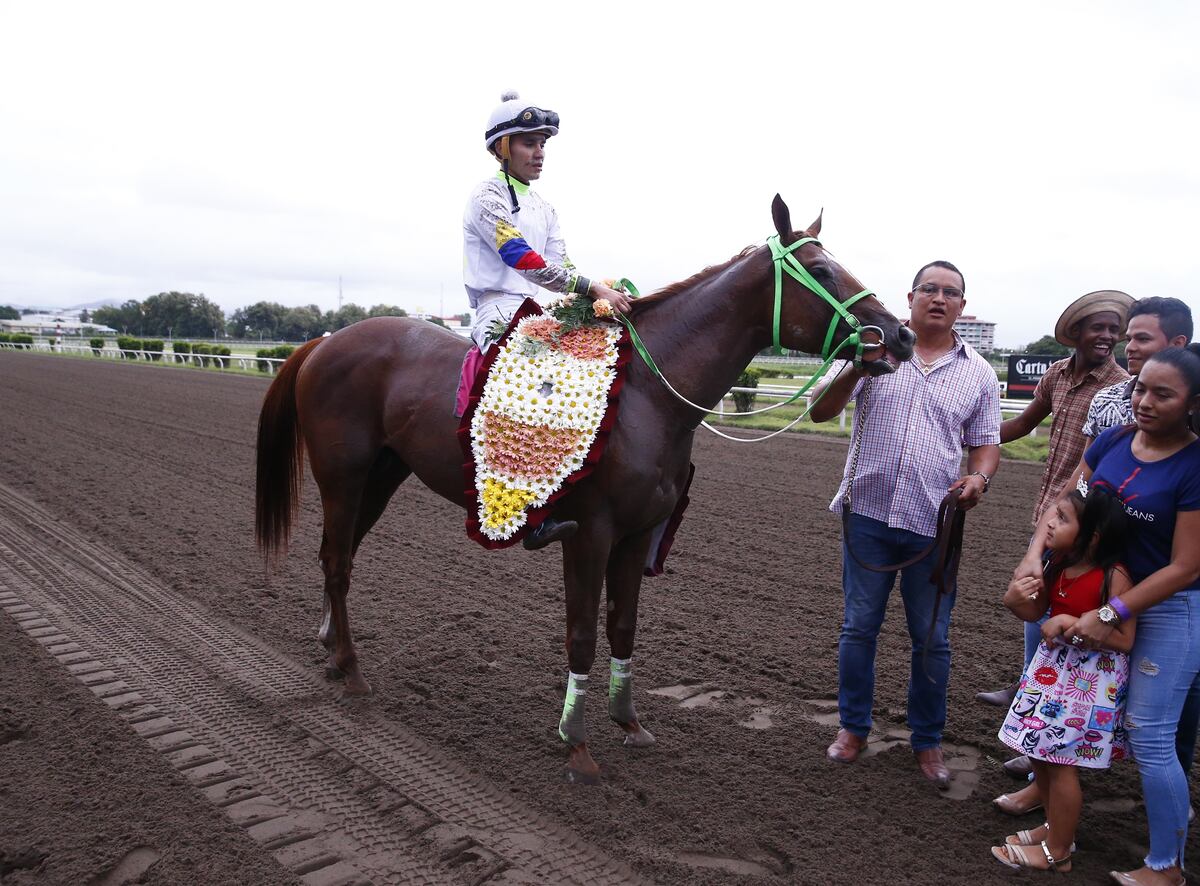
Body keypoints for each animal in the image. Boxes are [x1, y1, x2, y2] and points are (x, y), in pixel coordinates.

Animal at [253, 196, 907, 777]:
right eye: (821, 270)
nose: (897, 335)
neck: (647, 394)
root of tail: (325, 341)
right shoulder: (588, 532)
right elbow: (583, 633)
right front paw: (576, 744)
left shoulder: (638, 533)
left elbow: (622, 627)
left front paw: (630, 723)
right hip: (344, 477)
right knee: (338, 562)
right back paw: (351, 669)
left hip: (382, 477)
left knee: (335, 555)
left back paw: (331, 650)